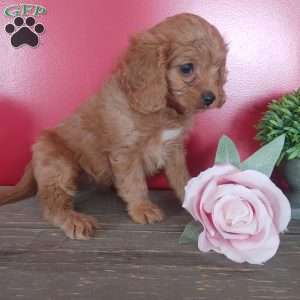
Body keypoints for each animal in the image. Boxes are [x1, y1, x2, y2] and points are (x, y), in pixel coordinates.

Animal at [0, 13, 226, 239]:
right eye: (187, 68)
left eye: (218, 70)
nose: (211, 98)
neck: (165, 111)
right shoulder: (126, 152)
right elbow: (135, 183)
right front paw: (142, 208)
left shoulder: (174, 149)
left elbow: (182, 178)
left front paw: (193, 199)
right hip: (58, 163)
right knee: (52, 203)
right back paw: (74, 219)